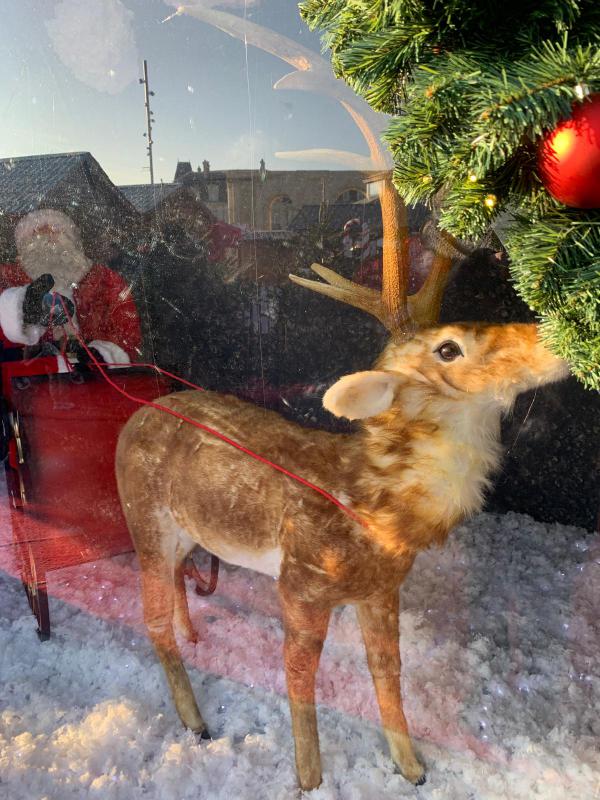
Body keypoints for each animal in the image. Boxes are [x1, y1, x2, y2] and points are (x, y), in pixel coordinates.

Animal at [115, 178, 569, 790]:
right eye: (449, 347)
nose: (553, 338)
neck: (371, 503)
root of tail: (132, 420)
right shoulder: (301, 583)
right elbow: (299, 676)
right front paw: (309, 780)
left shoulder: (381, 590)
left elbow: (388, 671)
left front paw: (413, 769)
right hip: (143, 517)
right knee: (151, 617)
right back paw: (196, 721)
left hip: (186, 531)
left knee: (178, 581)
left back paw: (195, 638)